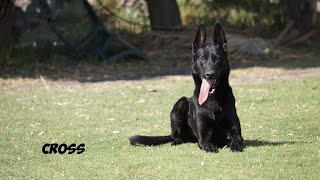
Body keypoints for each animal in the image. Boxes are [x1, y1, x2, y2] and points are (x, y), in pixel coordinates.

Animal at [129, 21, 244, 153]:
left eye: (217, 59)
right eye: (202, 58)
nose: (210, 74)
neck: (213, 99)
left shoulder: (236, 132)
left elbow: (237, 138)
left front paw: (235, 145)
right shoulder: (202, 137)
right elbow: (206, 143)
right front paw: (212, 147)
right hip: (180, 103)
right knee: (176, 136)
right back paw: (176, 141)